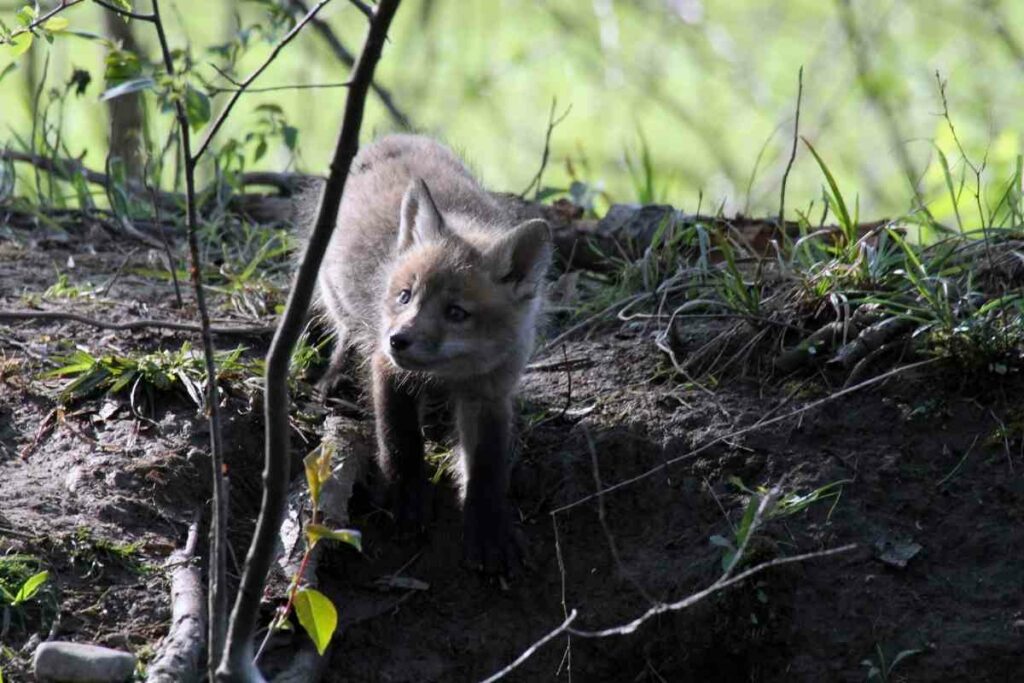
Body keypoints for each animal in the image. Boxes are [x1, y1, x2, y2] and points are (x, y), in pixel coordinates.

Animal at [314, 134, 552, 574]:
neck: (451, 373)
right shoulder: (388, 371)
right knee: (344, 332)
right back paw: (336, 375)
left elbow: (487, 468)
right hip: (331, 288)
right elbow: (401, 441)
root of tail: (394, 137)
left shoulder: (490, 392)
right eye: (406, 296)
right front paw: (408, 502)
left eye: (456, 313)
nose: (397, 339)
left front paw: (488, 530)